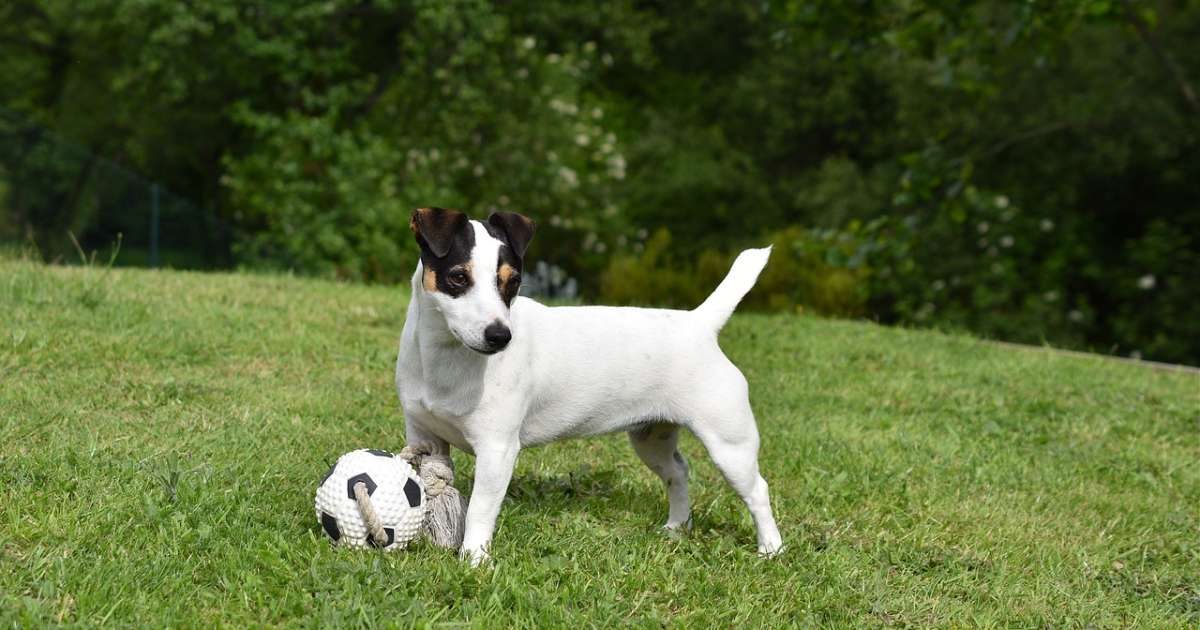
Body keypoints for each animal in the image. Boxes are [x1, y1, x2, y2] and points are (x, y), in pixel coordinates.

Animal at [396, 207, 787, 564]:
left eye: (513, 282)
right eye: (458, 277)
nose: (500, 335)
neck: (446, 358)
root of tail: (700, 324)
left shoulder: (497, 450)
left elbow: (480, 508)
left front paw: (474, 559)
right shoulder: (425, 437)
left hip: (729, 445)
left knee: (758, 490)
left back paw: (771, 547)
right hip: (652, 439)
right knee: (678, 472)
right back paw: (677, 527)